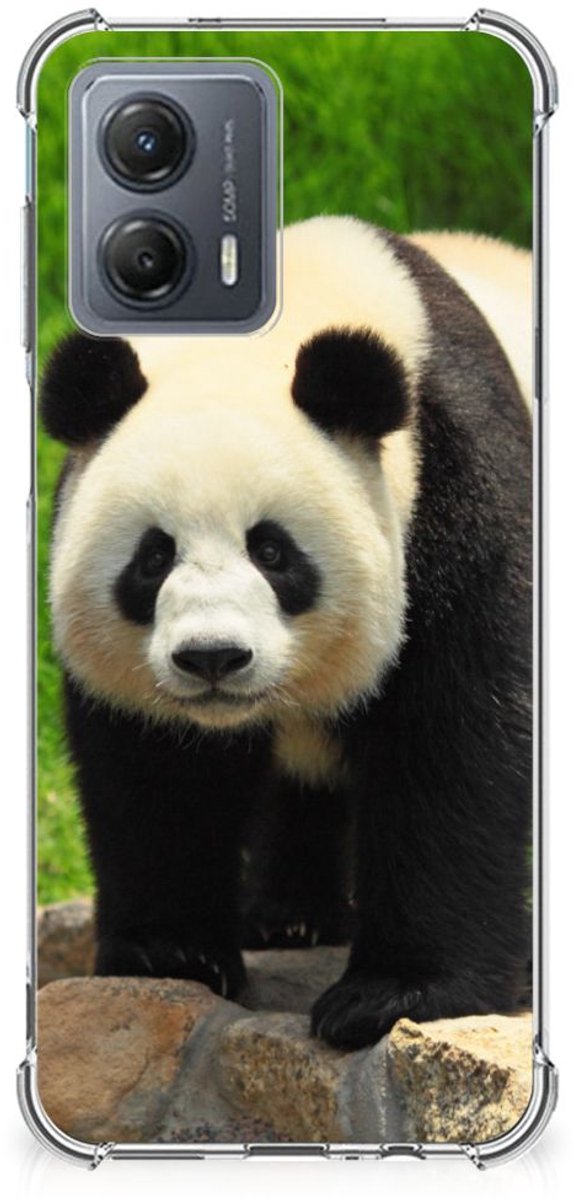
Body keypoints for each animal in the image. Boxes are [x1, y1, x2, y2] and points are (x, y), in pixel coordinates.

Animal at [41, 216, 532, 1051]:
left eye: (272, 551)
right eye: (153, 557)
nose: (212, 657)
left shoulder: (461, 487)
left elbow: (457, 740)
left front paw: (394, 994)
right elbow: (154, 769)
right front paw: (172, 954)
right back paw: (290, 918)